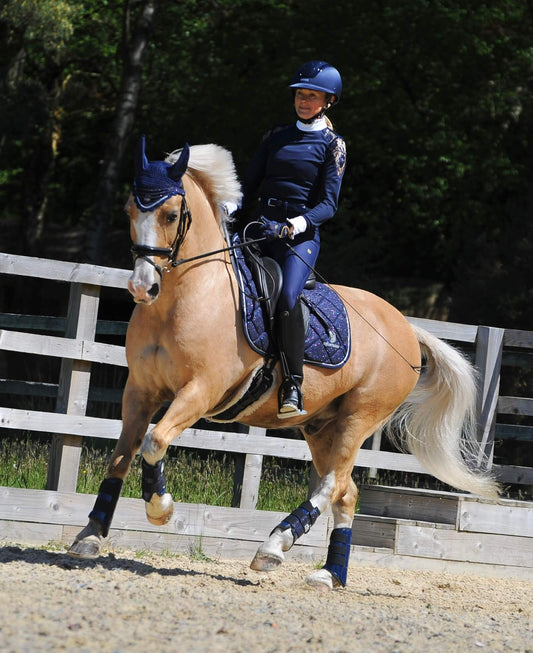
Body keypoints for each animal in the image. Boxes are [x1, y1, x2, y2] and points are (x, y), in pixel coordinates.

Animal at [68, 138, 499, 590]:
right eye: (130, 212)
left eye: (170, 214)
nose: (142, 287)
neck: (186, 298)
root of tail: (405, 327)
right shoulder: (140, 390)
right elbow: (122, 454)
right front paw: (90, 535)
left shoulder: (201, 392)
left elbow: (154, 441)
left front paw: (159, 507)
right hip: (321, 426)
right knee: (346, 492)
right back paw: (329, 573)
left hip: (361, 416)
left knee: (331, 485)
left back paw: (274, 546)